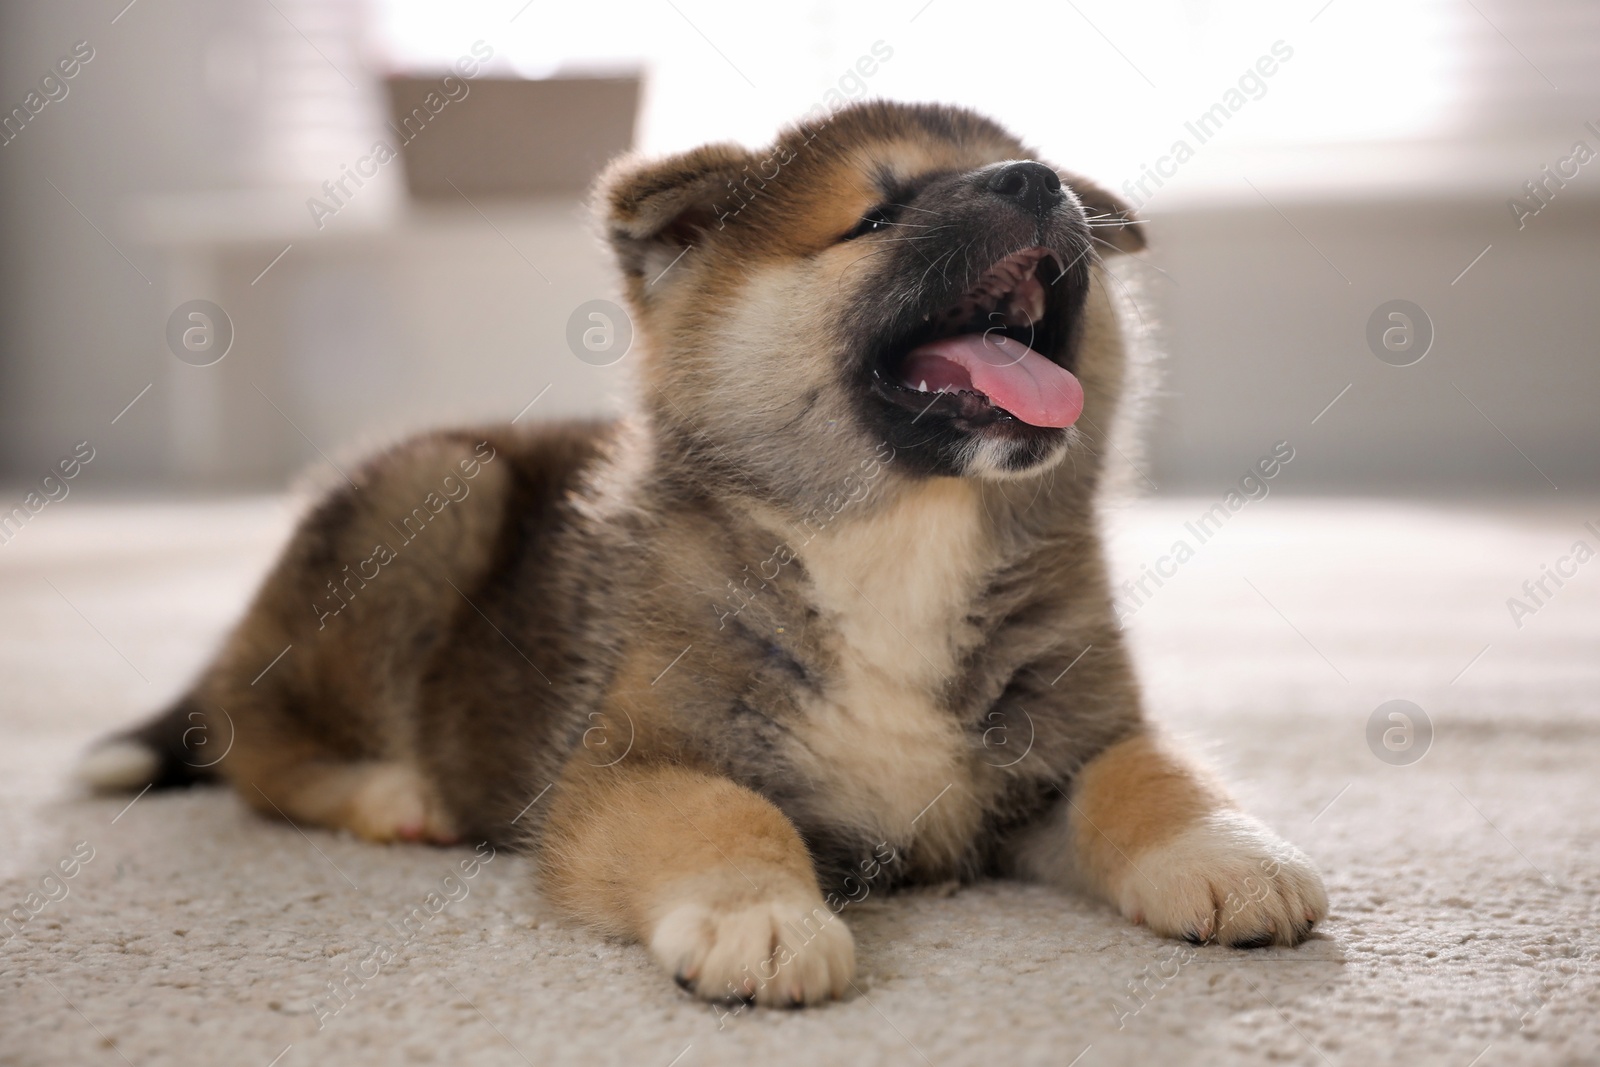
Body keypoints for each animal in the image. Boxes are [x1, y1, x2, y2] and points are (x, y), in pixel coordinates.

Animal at [78, 99, 1324, 1011]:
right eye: (878, 215)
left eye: (1033, 170)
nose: (1035, 180)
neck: (898, 542)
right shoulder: (634, 763)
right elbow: (724, 814)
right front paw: (756, 914)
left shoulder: (1066, 745)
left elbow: (1151, 772)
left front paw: (1228, 850)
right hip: (438, 491)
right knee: (257, 738)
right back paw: (391, 789)